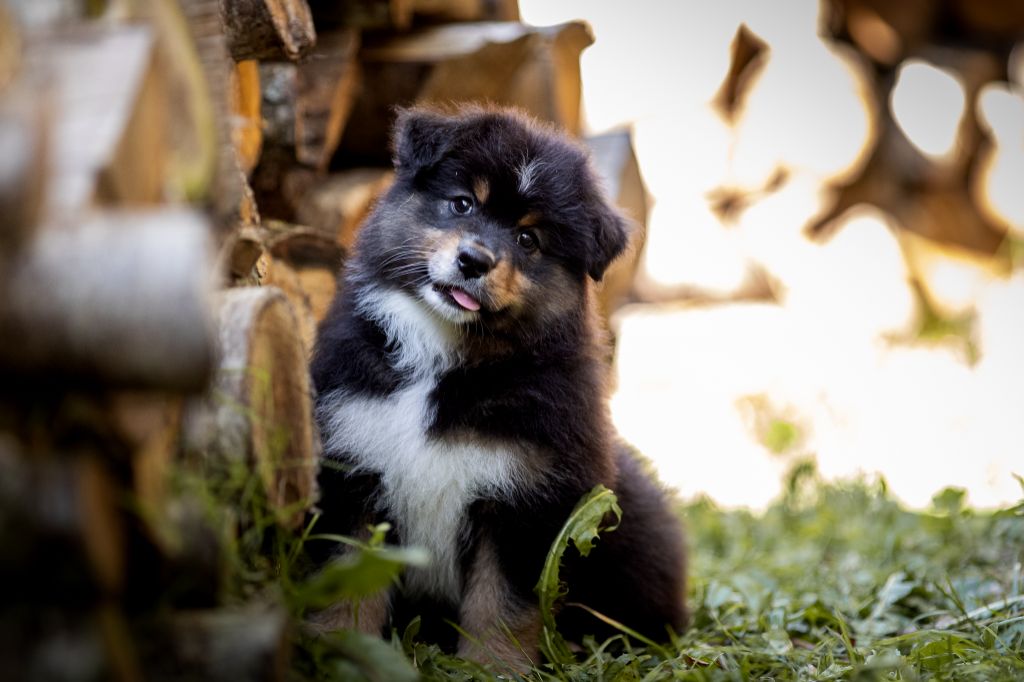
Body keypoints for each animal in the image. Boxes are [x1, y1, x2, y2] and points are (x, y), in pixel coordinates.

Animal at [307, 104, 684, 663]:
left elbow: (501, 604)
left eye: (529, 239)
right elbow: (345, 577)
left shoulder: (527, 498)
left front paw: (492, 667)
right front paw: (336, 646)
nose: (474, 261)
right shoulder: (353, 462)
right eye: (462, 203)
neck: (445, 360)